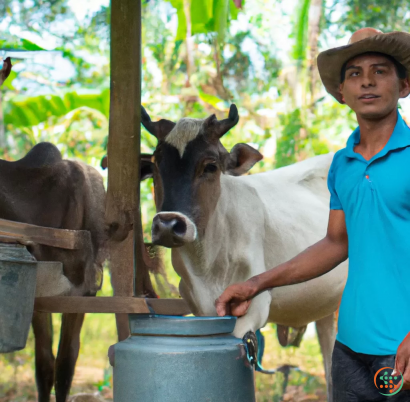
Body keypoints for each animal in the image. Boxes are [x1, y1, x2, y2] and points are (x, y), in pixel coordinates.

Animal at [141, 103, 346, 398]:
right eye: (157, 165)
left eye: (210, 166)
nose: (169, 225)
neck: (208, 260)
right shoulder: (199, 306)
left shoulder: (252, 309)